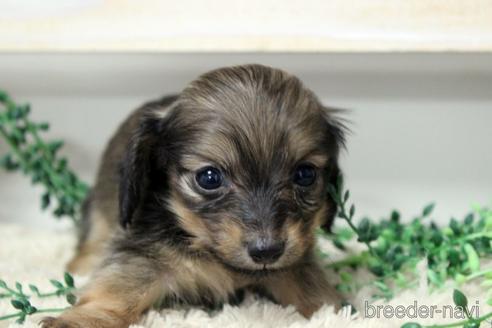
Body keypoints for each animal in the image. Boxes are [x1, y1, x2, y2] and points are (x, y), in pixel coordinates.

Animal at [41, 64, 346, 328]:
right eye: (209, 178)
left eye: (305, 175)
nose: (267, 251)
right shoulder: (143, 252)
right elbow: (120, 288)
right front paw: (82, 320)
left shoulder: (295, 262)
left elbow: (314, 293)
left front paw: (337, 312)